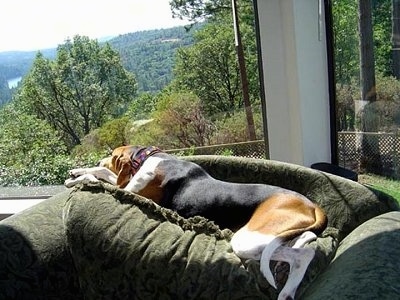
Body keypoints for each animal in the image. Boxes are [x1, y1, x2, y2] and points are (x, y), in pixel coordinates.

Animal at [64, 145, 326, 298]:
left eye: (111, 155)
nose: (99, 159)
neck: (151, 156)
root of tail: (311, 204)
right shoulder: (127, 186)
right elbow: (106, 176)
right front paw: (78, 171)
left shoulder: (133, 191)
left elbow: (105, 179)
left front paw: (79, 178)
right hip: (274, 237)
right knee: (300, 243)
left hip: (247, 239)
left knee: (305, 255)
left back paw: (286, 292)